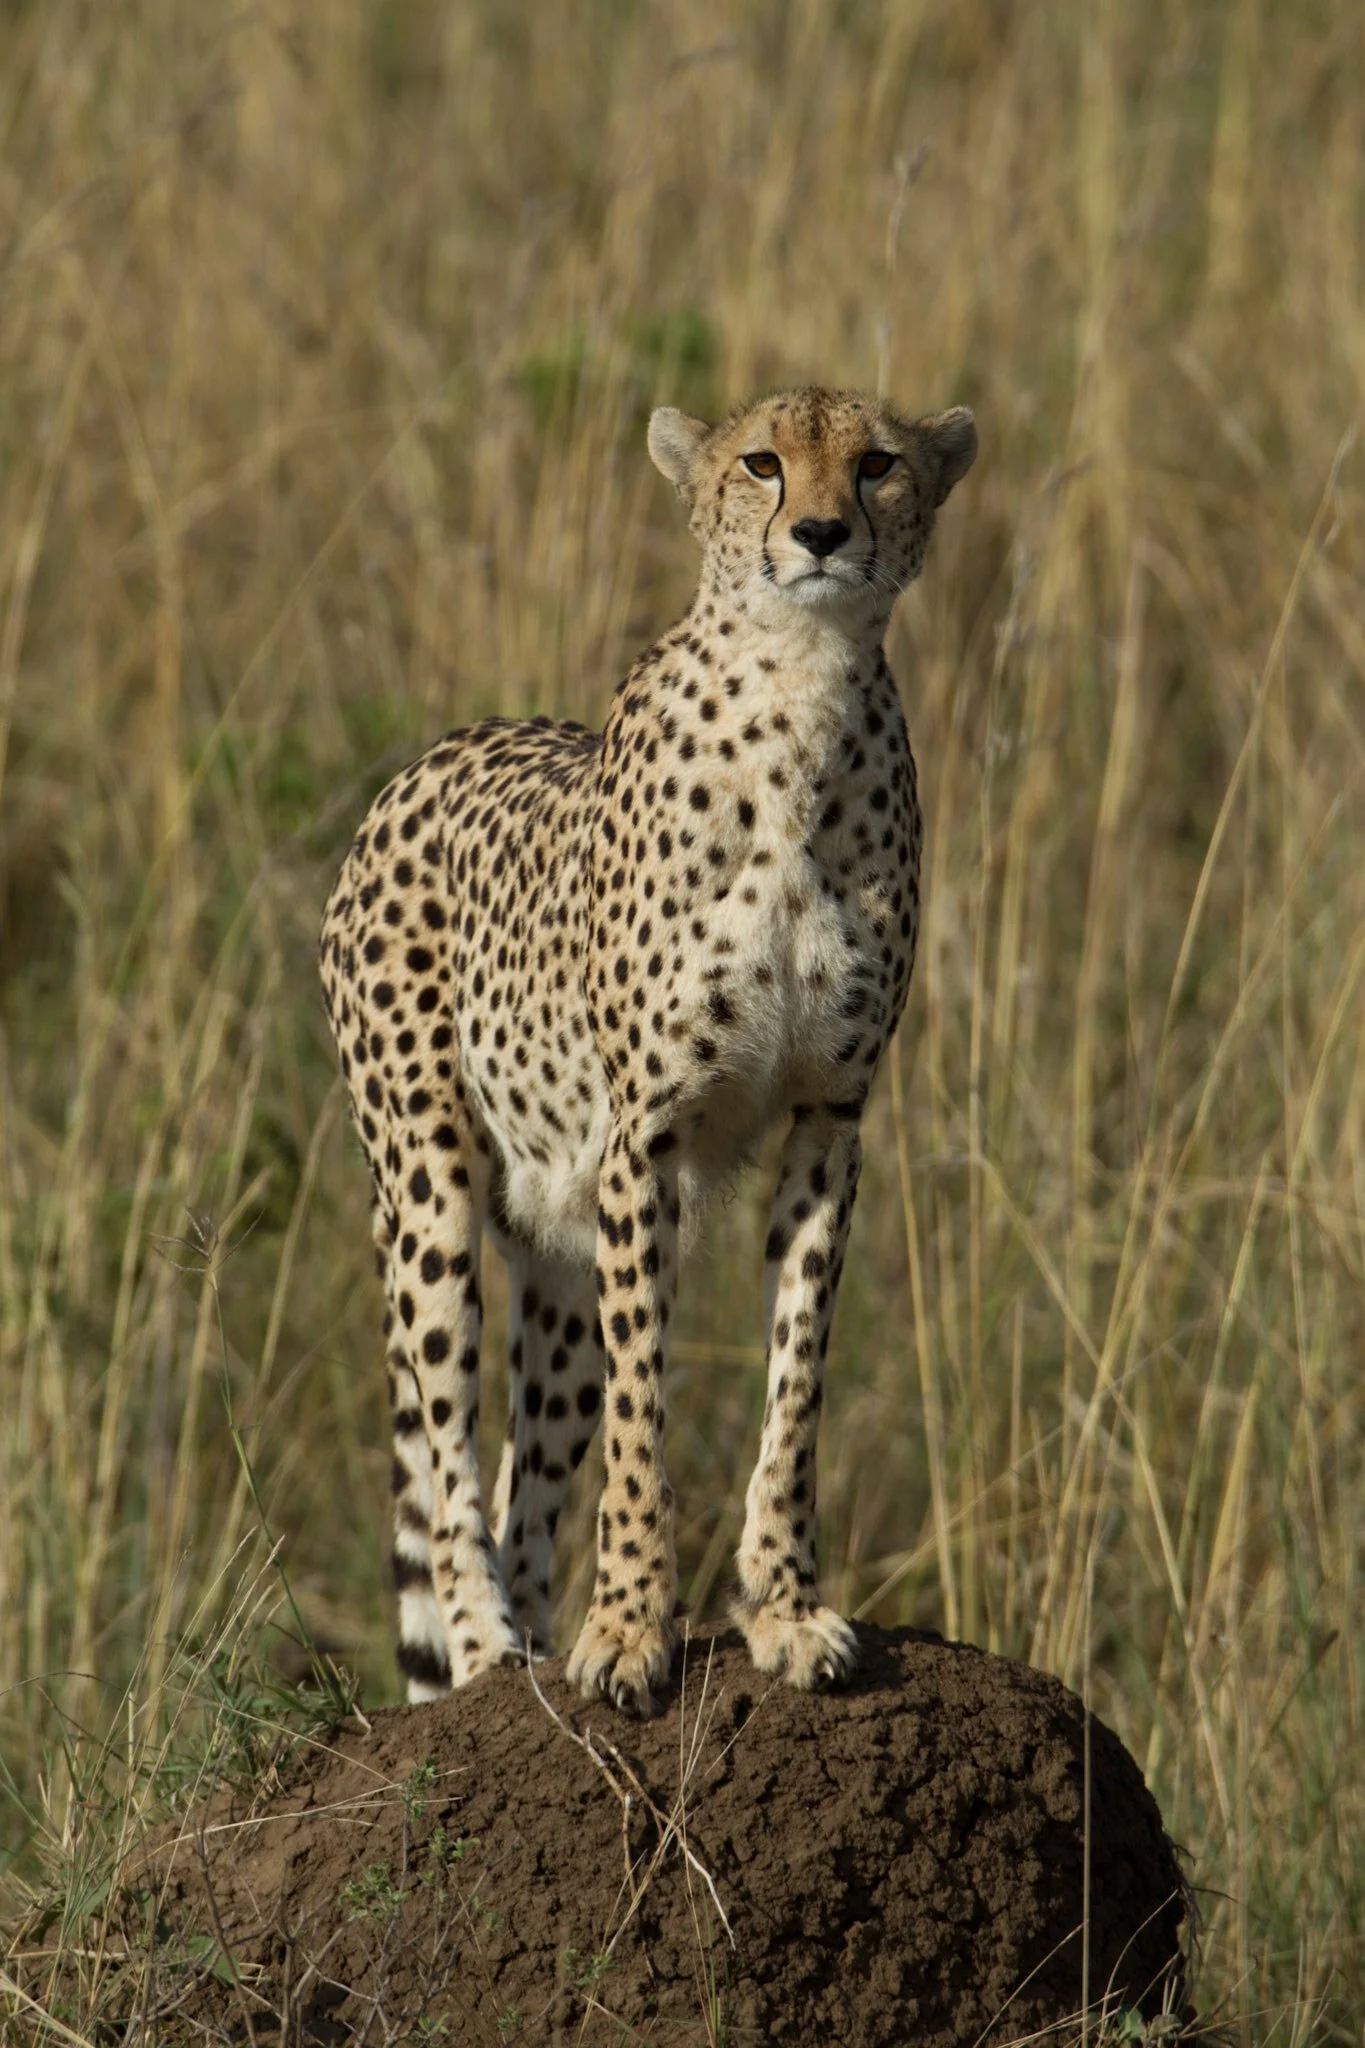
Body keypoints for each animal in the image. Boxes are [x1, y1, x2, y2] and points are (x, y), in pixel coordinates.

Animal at [319, 384, 976, 1716]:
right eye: (762, 463)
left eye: (879, 463)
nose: (821, 533)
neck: (803, 690)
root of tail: (425, 759)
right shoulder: (647, 1135)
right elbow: (643, 1409)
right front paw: (629, 1628)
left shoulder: (830, 1120)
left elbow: (794, 1381)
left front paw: (785, 1608)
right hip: (431, 1191)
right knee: (451, 1454)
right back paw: (486, 1653)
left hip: (557, 1247)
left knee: (528, 1478)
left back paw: (526, 1642)